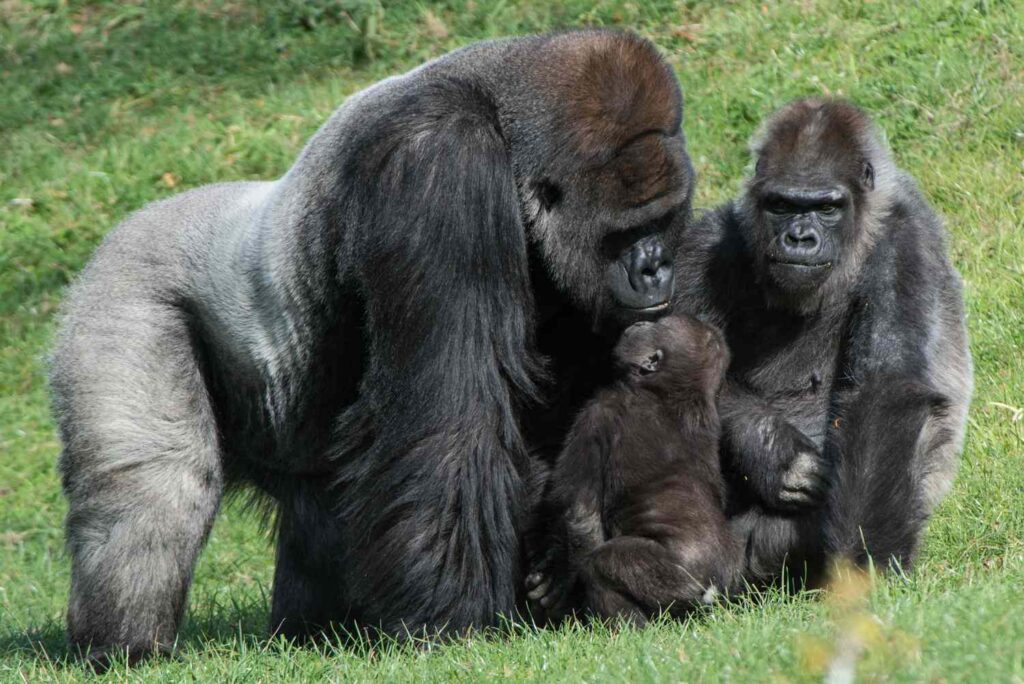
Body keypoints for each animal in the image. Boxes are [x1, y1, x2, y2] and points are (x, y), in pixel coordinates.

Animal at [49, 30, 696, 666]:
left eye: (664, 219)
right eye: (623, 233)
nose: (655, 269)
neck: (505, 124)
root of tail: (114, 235)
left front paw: (559, 564)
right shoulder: (436, 165)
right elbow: (453, 420)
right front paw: (448, 621)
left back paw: (313, 632)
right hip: (119, 292)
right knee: (155, 489)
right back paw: (124, 647)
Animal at [525, 315, 740, 623]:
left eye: (655, 325)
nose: (639, 323)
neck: (673, 392)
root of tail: (711, 588)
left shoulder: (597, 413)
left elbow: (580, 513)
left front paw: (561, 583)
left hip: (678, 578)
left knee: (602, 564)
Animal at [673, 98, 972, 587]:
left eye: (827, 207)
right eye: (781, 205)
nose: (799, 238)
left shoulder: (905, 235)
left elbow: (883, 391)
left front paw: (864, 565)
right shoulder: (705, 243)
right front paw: (770, 449)